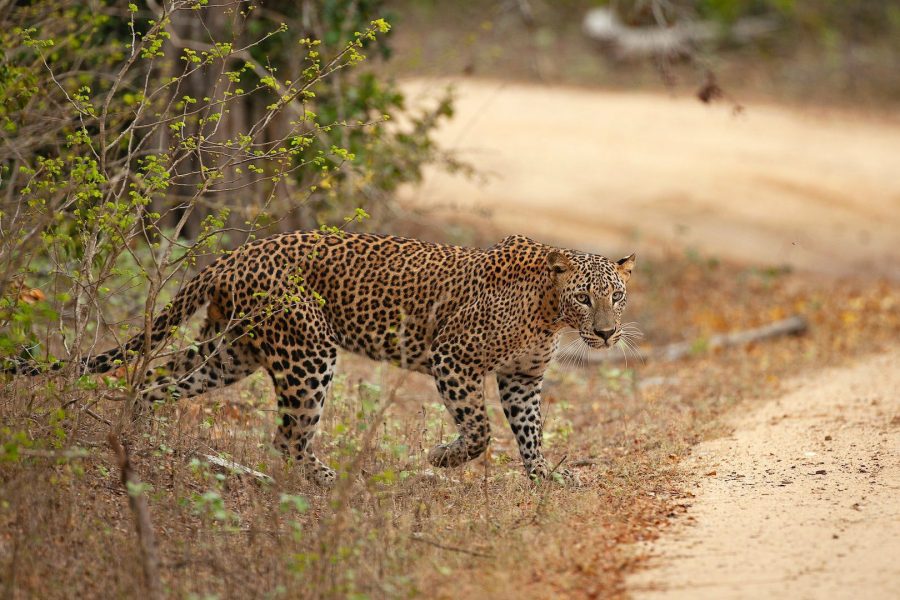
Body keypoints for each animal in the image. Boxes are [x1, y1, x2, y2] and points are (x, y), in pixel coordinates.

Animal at [10, 232, 636, 486]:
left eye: (617, 296)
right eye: (585, 297)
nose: (606, 334)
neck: (549, 312)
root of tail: (236, 255)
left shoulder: (521, 379)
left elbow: (530, 433)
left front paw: (544, 478)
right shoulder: (453, 358)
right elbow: (480, 431)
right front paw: (443, 458)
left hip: (229, 350)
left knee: (154, 381)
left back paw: (132, 437)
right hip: (308, 352)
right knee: (287, 436)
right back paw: (331, 481)